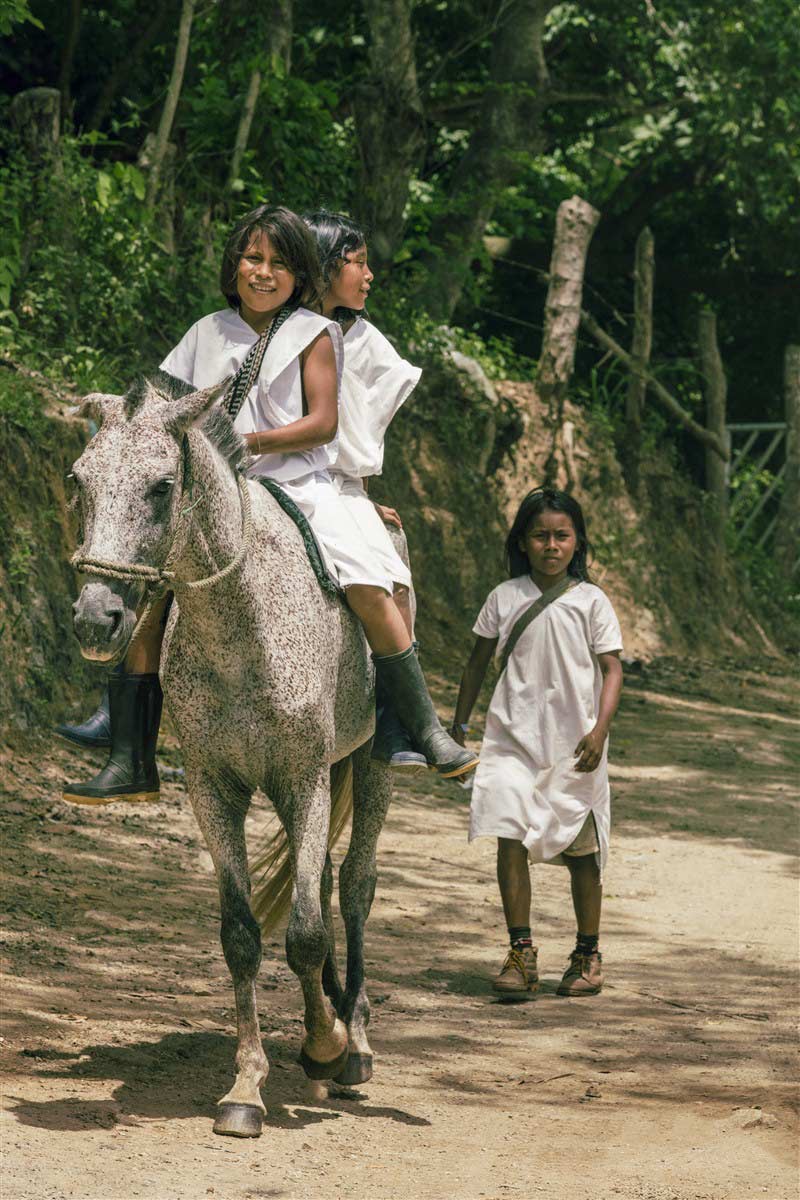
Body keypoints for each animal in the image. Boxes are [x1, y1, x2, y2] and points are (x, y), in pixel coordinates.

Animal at [67, 374, 393, 1132]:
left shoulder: (303, 780)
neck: (244, 628)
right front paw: (247, 1085)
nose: (97, 619)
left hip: (368, 764)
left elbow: (304, 932)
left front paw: (326, 1045)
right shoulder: (214, 788)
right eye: (79, 480)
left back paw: (355, 1042)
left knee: (355, 888)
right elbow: (243, 934)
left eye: (162, 487)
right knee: (323, 883)